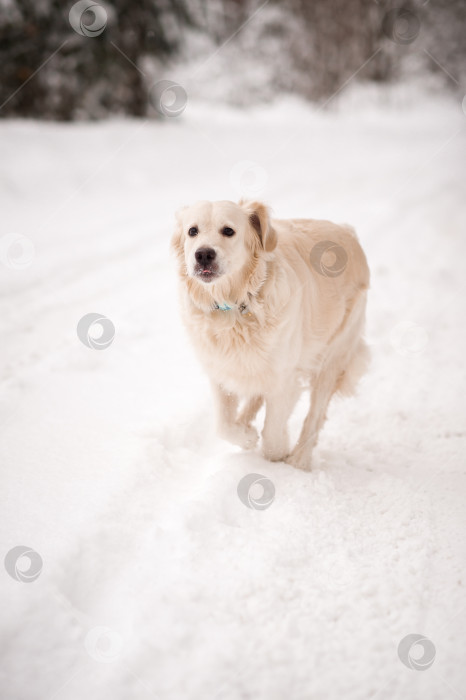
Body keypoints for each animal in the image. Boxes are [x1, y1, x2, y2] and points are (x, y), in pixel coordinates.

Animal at [169, 198, 370, 470]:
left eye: (228, 231)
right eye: (193, 231)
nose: (203, 254)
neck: (236, 306)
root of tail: (347, 232)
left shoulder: (285, 376)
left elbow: (273, 437)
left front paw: (277, 454)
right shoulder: (219, 369)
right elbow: (223, 425)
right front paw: (246, 436)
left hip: (333, 355)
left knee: (315, 415)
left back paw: (299, 460)